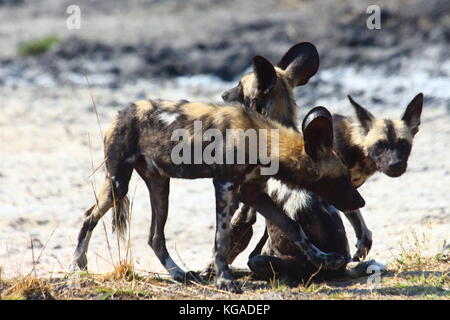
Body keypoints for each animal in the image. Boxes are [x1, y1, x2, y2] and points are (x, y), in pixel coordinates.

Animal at [71, 97, 366, 292]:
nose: (361, 201)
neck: (263, 141)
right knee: (88, 217)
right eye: (340, 178)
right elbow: (221, 239)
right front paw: (225, 280)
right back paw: (77, 264)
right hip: (118, 184)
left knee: (155, 236)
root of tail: (121, 112)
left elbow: (293, 227)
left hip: (160, 187)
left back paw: (178, 273)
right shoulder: (224, 186)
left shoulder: (253, 193)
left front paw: (323, 259)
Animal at [216, 42, 424, 282]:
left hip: (265, 262)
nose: (223, 94)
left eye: (239, 86)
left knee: (255, 260)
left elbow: (233, 238)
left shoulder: (248, 203)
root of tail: (340, 269)